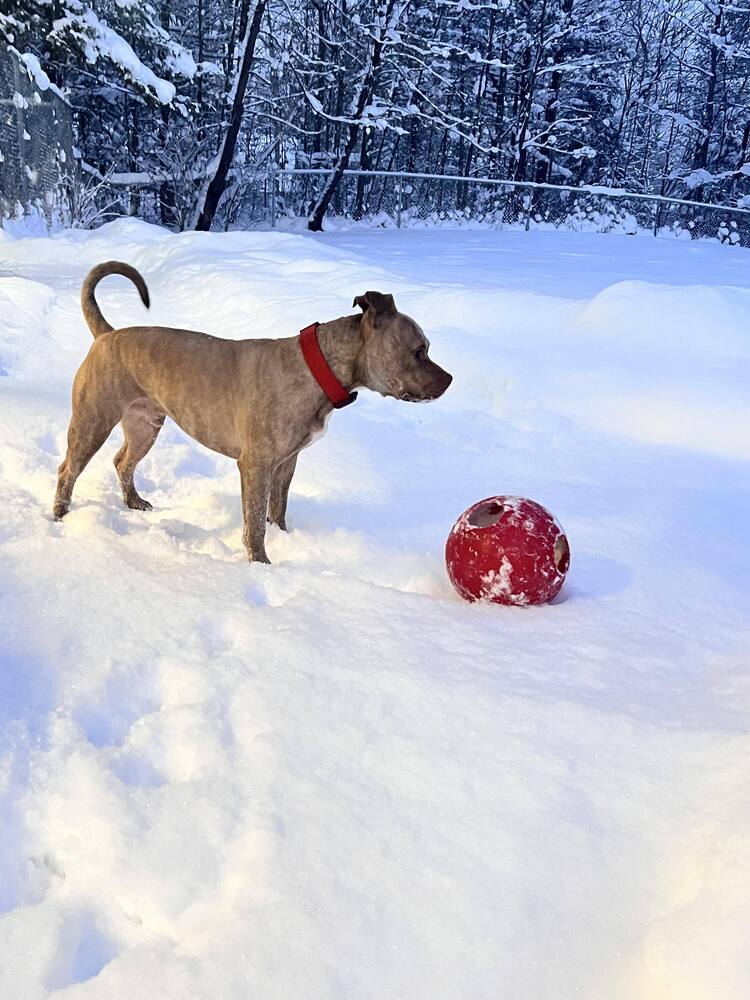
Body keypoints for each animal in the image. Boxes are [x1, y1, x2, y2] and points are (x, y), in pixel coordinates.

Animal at [54, 264, 452, 564]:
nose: (449, 379)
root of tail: (106, 335)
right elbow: (255, 522)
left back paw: (133, 502)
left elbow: (277, 509)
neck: (318, 367)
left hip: (145, 424)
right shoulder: (256, 465)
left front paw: (282, 537)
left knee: (122, 462)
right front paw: (260, 563)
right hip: (93, 421)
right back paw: (59, 516)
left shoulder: (286, 463)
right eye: (419, 350)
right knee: (67, 470)